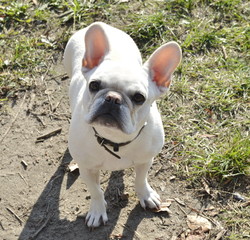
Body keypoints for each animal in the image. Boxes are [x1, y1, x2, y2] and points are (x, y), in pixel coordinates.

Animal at [63, 22, 182, 227]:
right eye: (94, 85)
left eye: (139, 97)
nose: (112, 98)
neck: (115, 139)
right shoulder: (87, 169)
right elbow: (95, 191)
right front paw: (97, 211)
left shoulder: (145, 160)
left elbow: (141, 180)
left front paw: (146, 195)